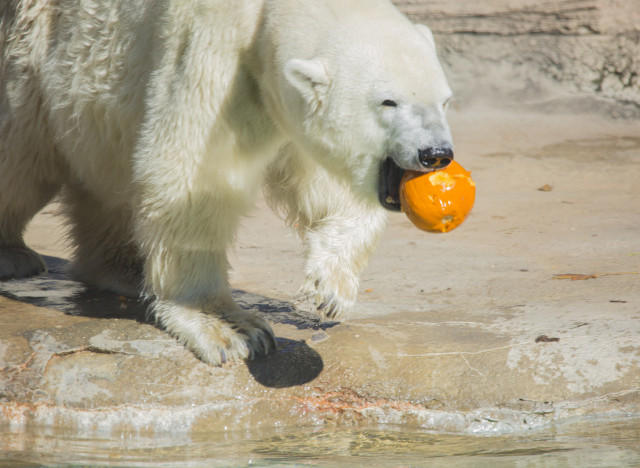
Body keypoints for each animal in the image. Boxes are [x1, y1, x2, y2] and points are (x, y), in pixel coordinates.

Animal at [2, 0, 458, 366]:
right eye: (388, 102)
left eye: (445, 99)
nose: (435, 153)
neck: (264, 12)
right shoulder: (215, 56)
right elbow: (192, 178)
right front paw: (233, 331)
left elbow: (324, 179)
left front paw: (330, 287)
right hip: (32, 48)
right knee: (22, 153)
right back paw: (16, 256)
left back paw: (125, 269)